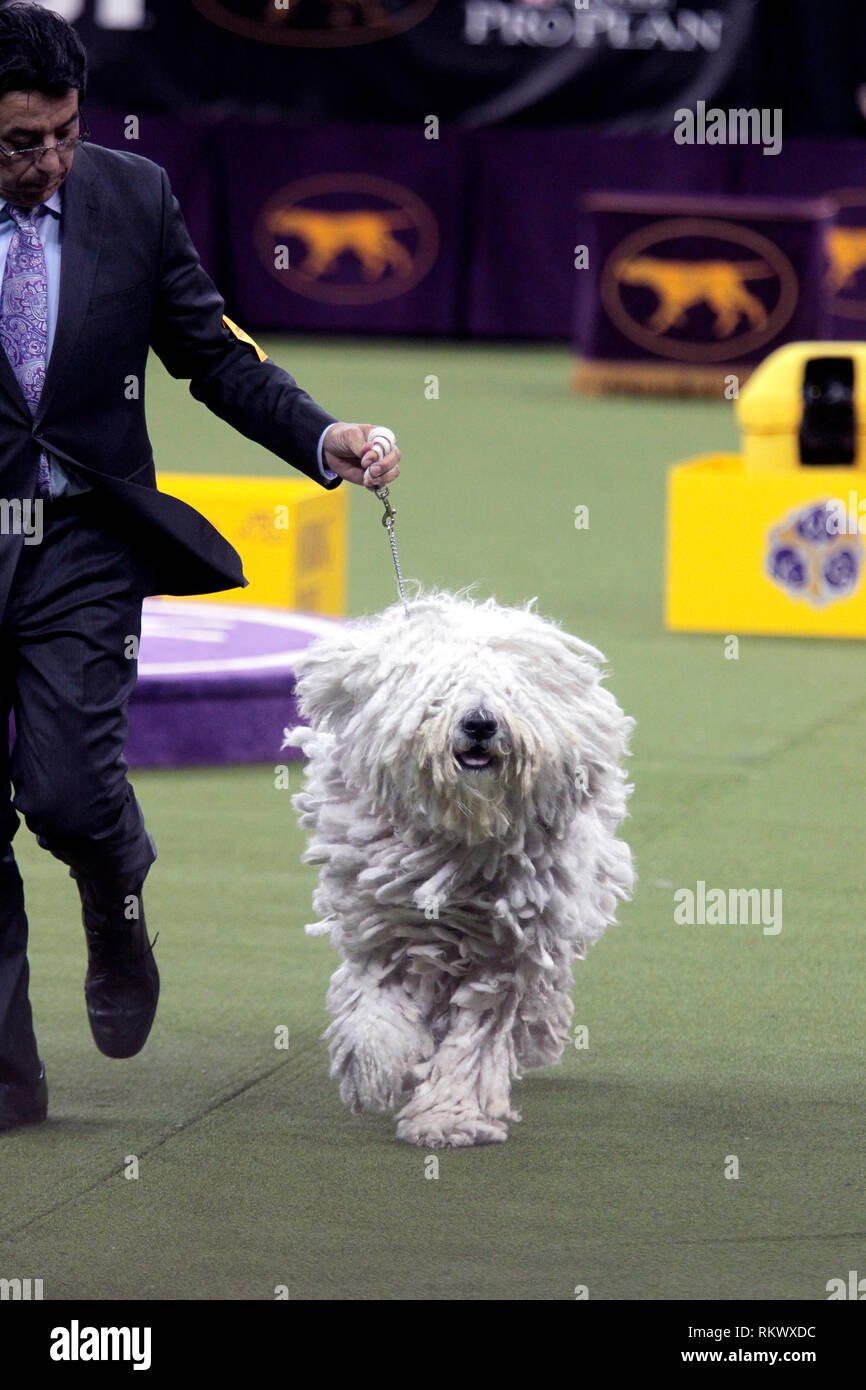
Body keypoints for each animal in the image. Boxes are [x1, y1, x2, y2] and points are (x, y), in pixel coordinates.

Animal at [287, 592, 633, 1145]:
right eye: (440, 693)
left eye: (510, 692)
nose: (480, 723)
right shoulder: (383, 924)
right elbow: (376, 1002)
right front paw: (374, 1066)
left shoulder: (505, 949)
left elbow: (477, 1035)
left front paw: (448, 1117)